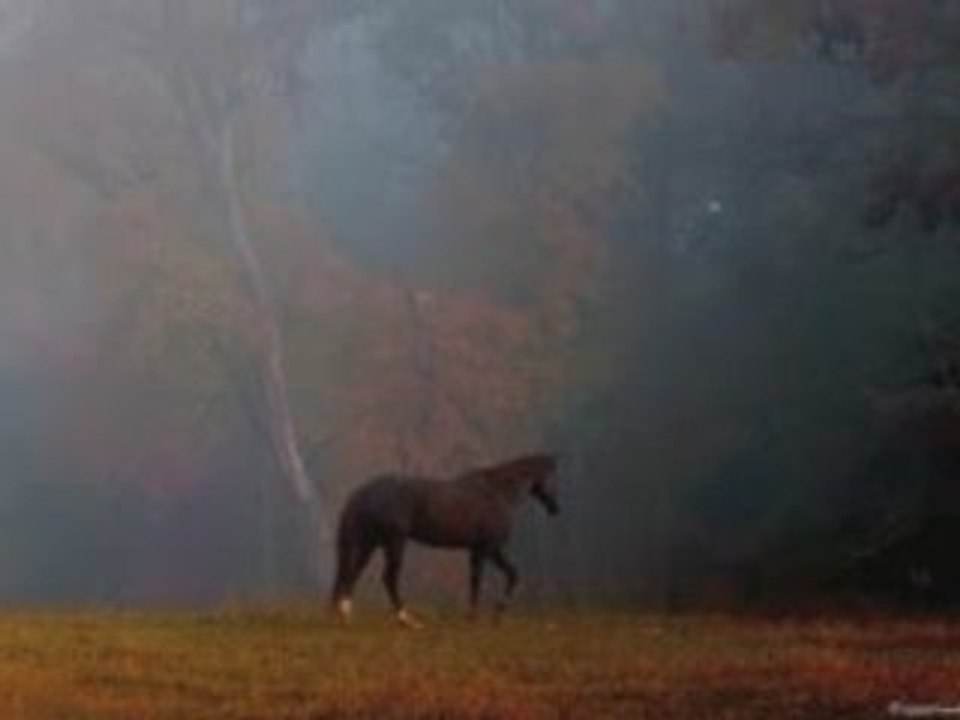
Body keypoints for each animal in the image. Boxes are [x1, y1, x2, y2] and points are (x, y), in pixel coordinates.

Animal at [330, 453, 559, 627]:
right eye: (554, 477)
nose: (555, 508)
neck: (496, 493)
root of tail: (365, 492)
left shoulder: (480, 550)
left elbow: (487, 578)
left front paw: (482, 615)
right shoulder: (490, 548)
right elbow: (498, 577)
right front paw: (491, 612)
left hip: (371, 543)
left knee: (353, 573)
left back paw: (345, 615)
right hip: (395, 543)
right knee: (388, 578)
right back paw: (407, 620)